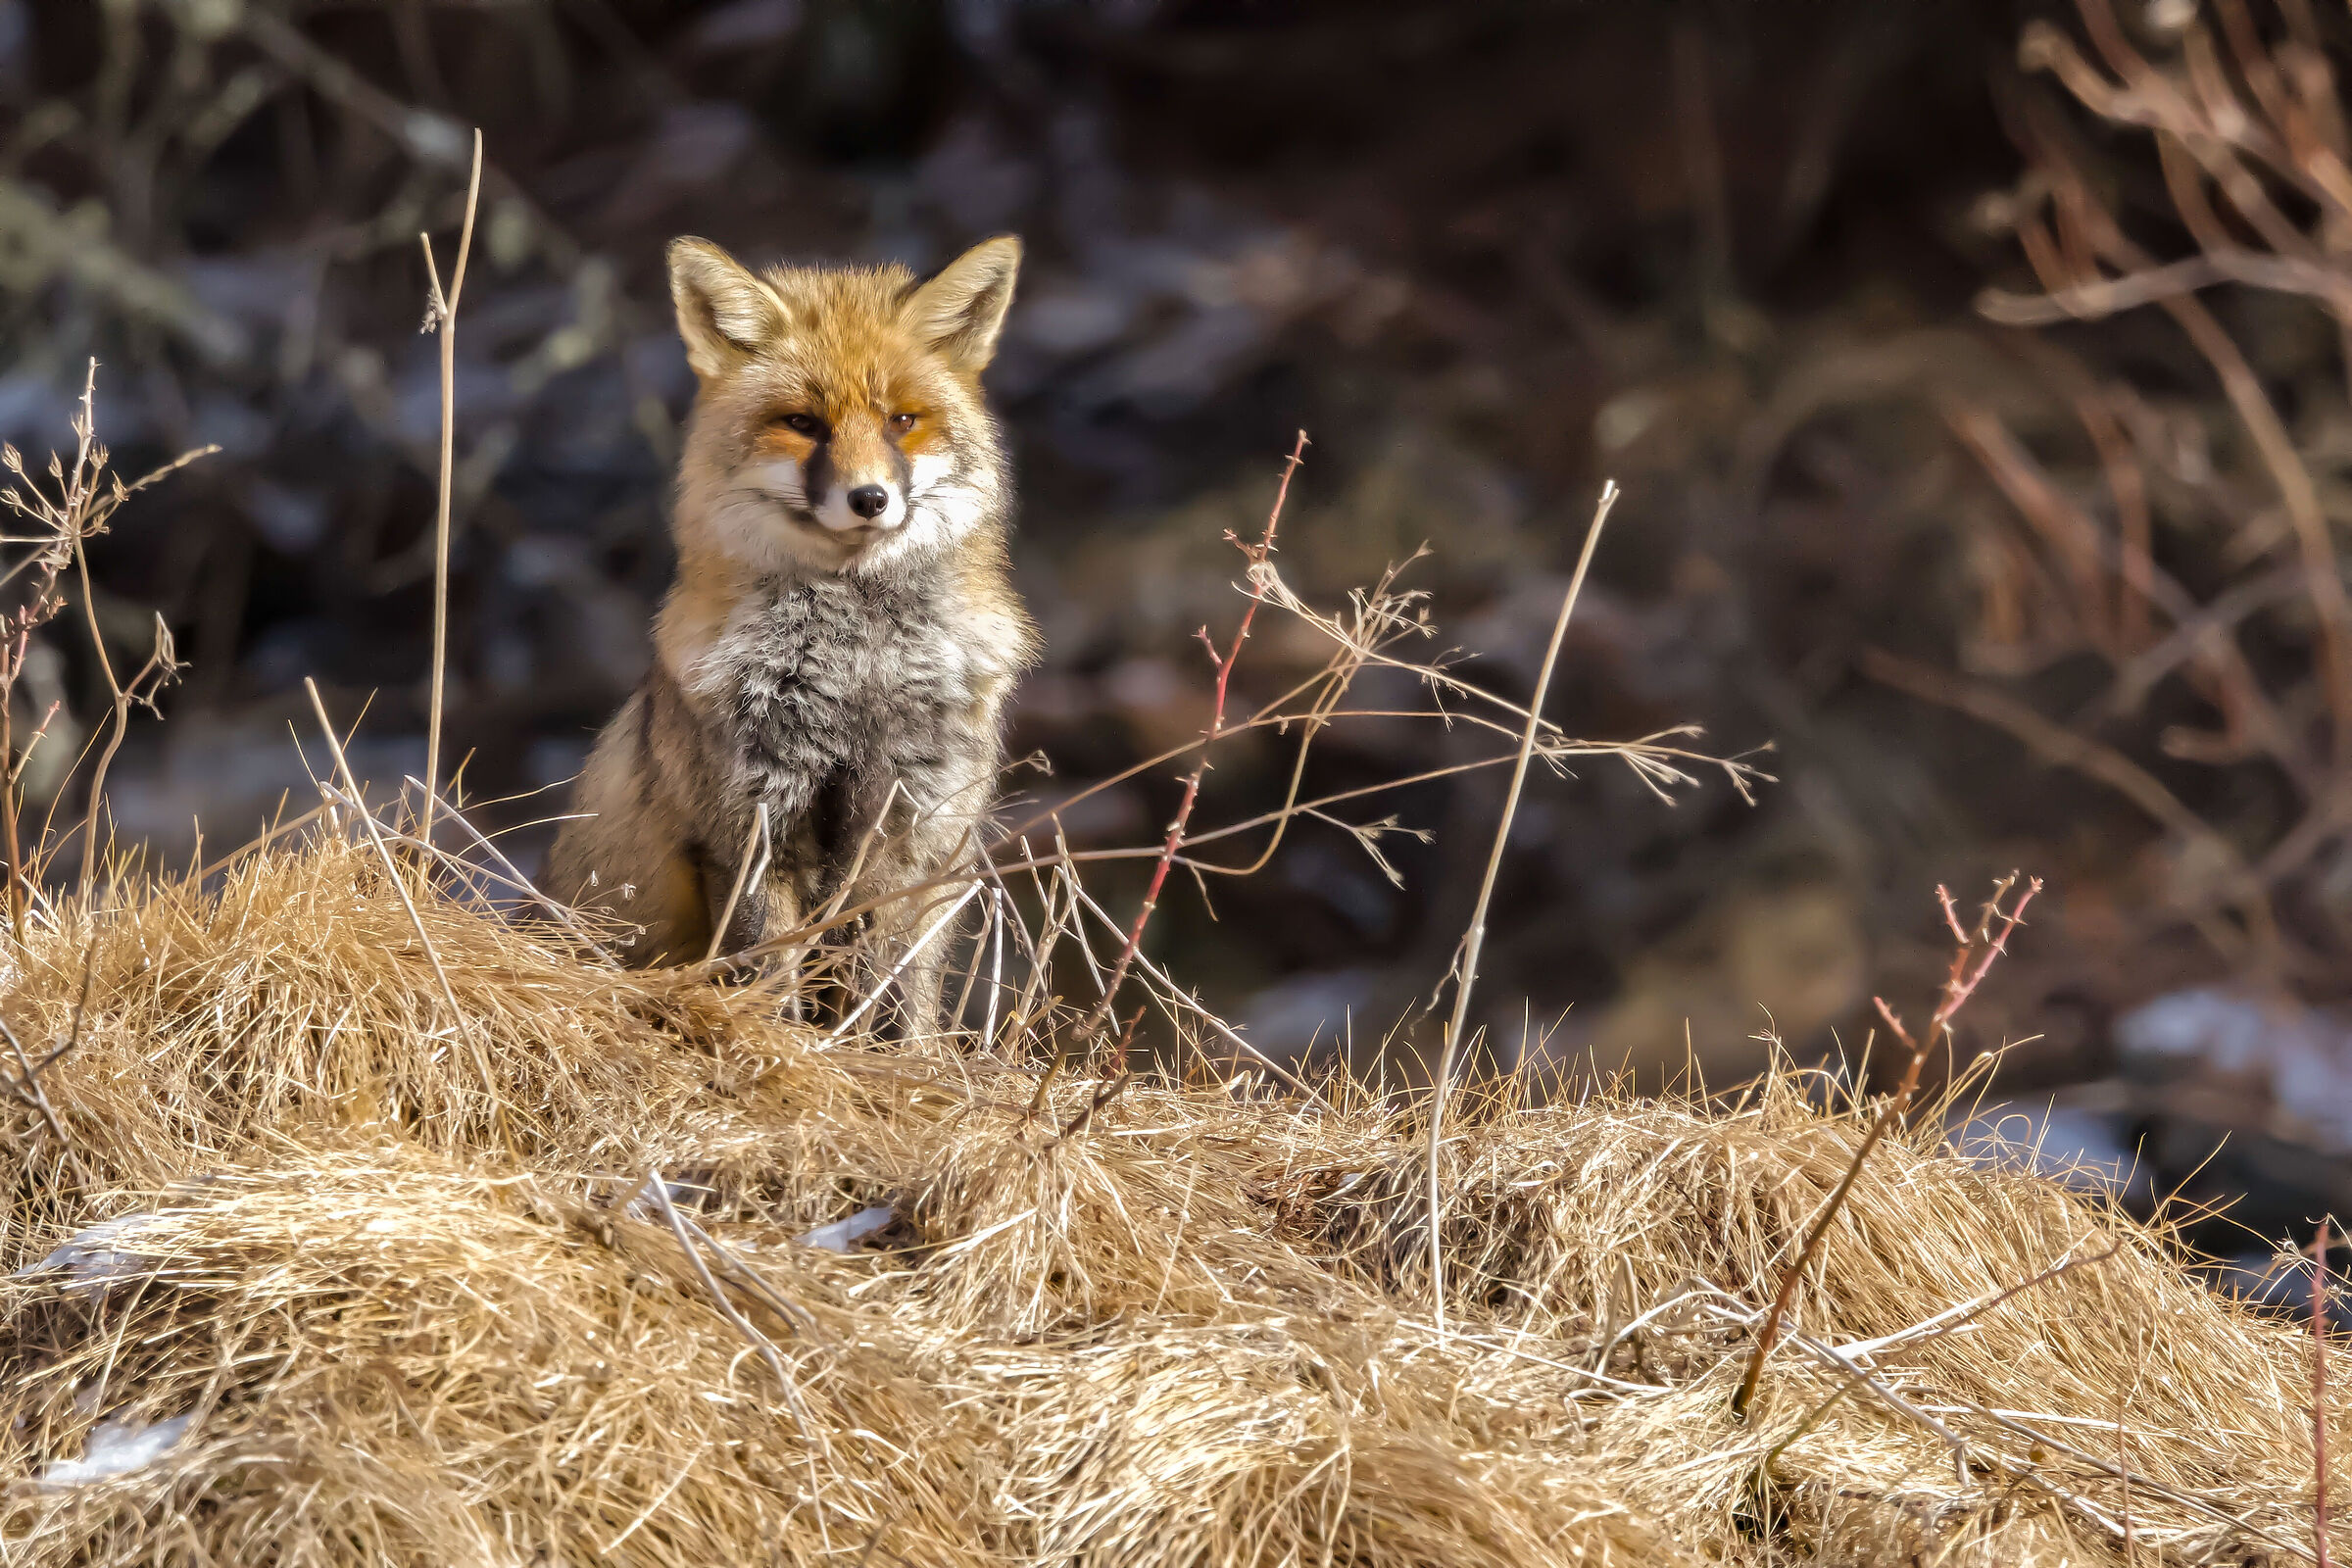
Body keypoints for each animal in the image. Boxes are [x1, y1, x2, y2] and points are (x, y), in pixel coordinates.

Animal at [546, 234, 1038, 1034]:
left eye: (902, 421)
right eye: (804, 423)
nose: (870, 498)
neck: (856, 671)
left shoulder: (915, 832)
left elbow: (892, 994)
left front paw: (893, 1060)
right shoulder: (750, 827)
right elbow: (773, 978)